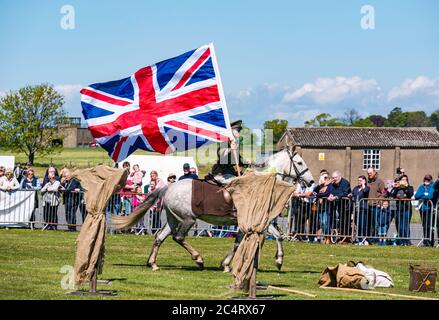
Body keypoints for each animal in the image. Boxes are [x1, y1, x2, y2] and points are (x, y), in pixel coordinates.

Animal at [111, 146, 314, 272]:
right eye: (300, 163)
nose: (311, 181)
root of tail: (169, 187)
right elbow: (278, 236)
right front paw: (278, 261)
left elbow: (238, 243)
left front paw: (226, 264)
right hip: (188, 219)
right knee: (178, 237)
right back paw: (198, 259)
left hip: (173, 219)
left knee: (159, 237)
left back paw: (153, 263)